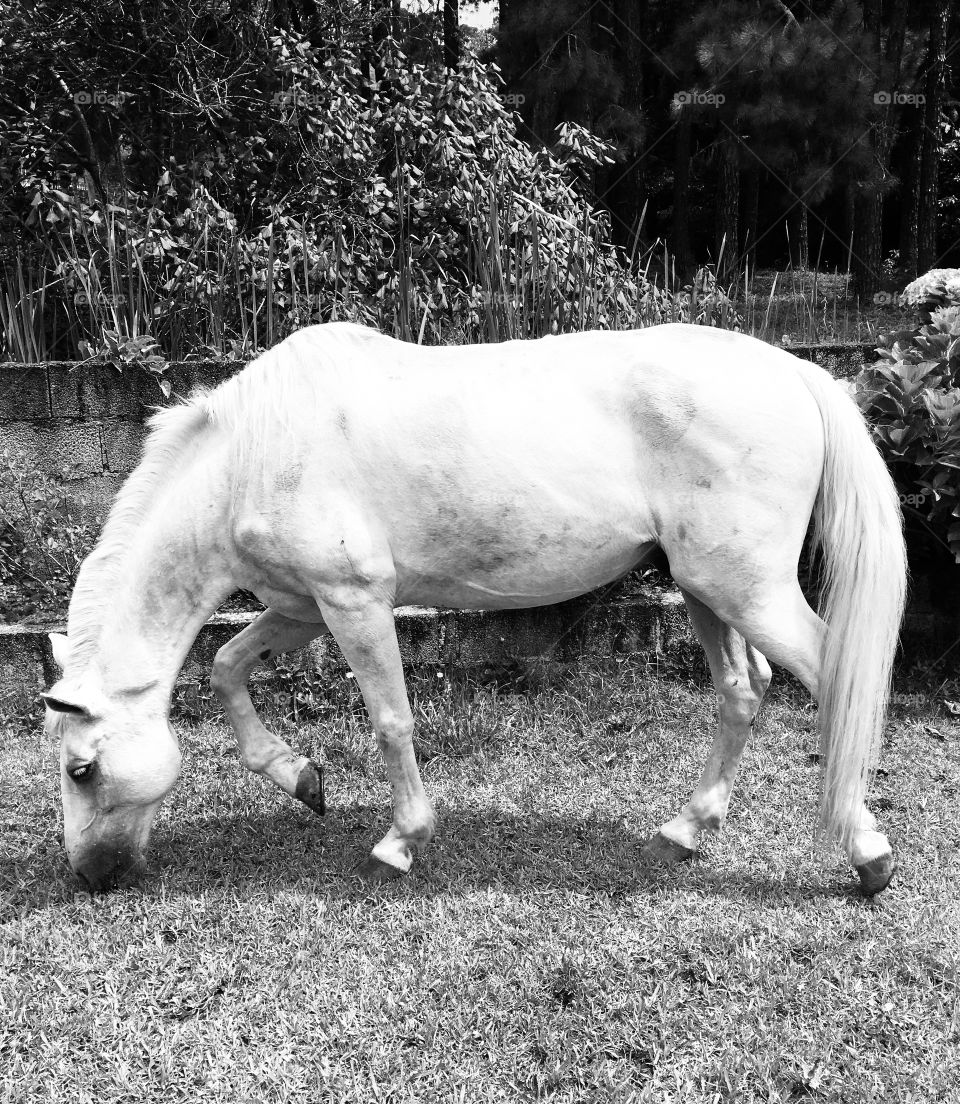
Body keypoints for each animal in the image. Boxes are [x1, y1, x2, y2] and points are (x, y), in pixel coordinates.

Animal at [39, 322, 909, 892]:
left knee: (833, 677)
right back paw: (685, 831)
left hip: (744, 588)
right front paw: (301, 778)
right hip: (705, 588)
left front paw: (399, 842)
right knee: (743, 690)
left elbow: (391, 720)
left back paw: (867, 853)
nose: (89, 876)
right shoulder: (302, 607)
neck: (255, 452)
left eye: (83, 769)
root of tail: (798, 373)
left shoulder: (353, 600)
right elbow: (224, 666)